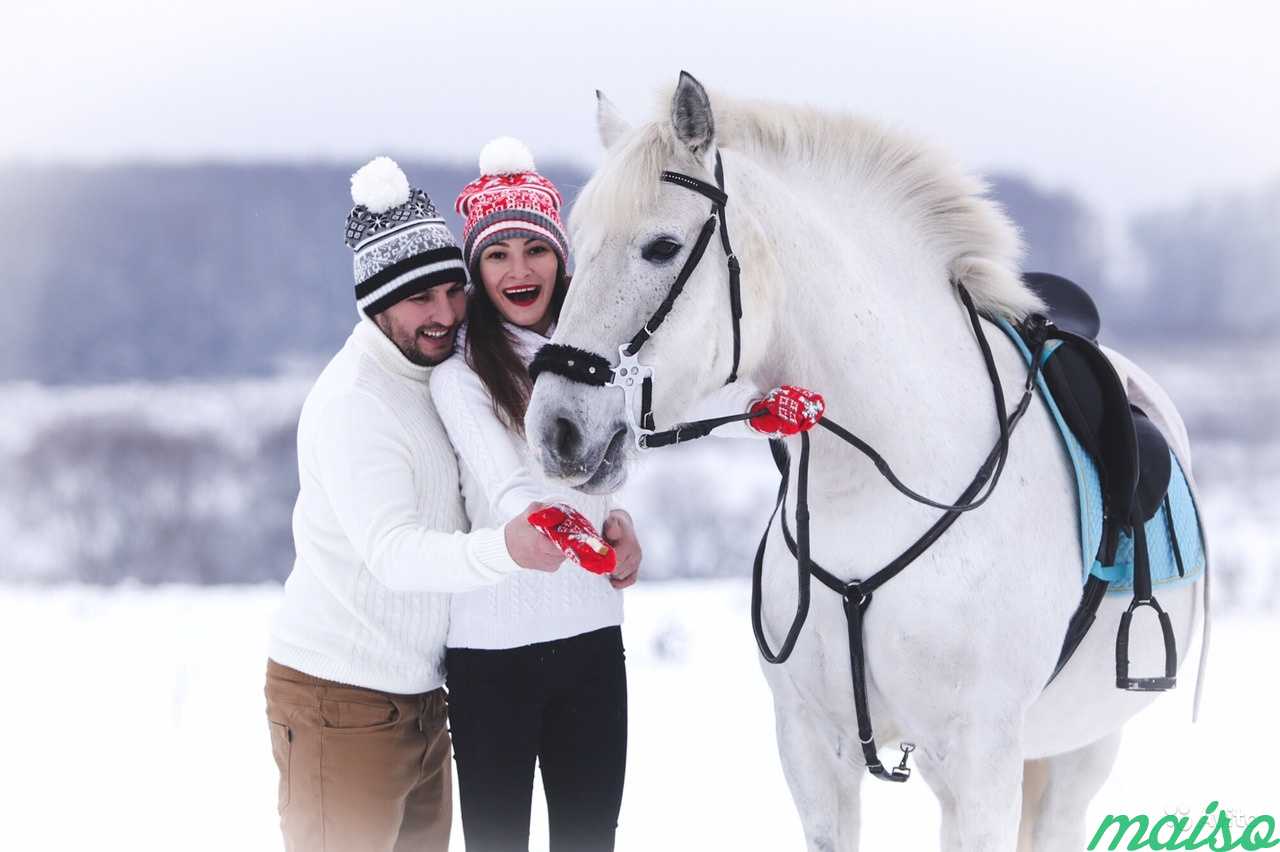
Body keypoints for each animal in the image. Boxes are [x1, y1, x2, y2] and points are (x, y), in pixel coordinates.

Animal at [522, 72, 1208, 849]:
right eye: (576, 246)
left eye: (662, 247)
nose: (556, 430)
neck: (883, 490)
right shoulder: (814, 755)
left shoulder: (980, 767)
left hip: (1080, 751)